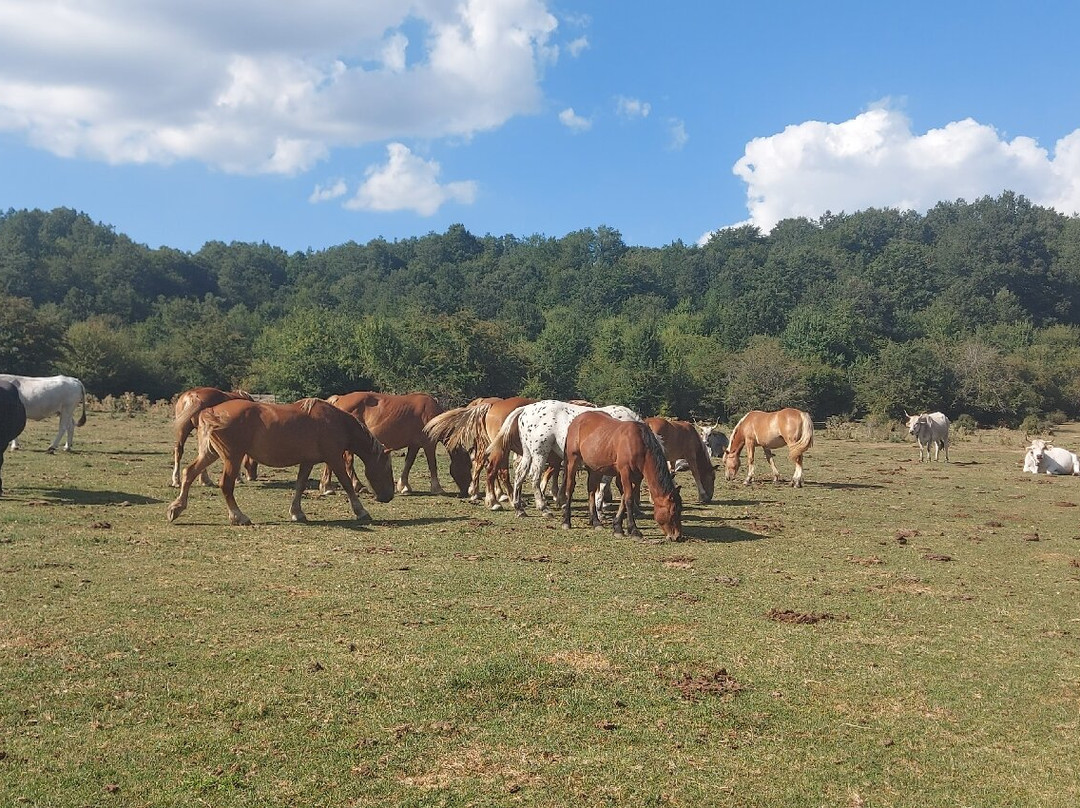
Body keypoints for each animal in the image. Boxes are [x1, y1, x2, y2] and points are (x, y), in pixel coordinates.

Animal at [167, 398, 395, 526]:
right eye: (387, 468)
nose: (389, 497)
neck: (336, 422)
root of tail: (209, 411)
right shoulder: (334, 458)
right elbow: (347, 484)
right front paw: (361, 511)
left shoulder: (307, 461)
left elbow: (300, 486)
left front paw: (297, 513)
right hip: (232, 457)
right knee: (226, 486)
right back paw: (239, 517)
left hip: (210, 453)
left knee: (189, 473)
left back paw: (176, 508)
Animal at [319, 392, 471, 496]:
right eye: (468, 465)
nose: (467, 491)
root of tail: (338, 399)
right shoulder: (429, 444)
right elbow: (432, 464)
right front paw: (437, 488)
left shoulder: (414, 445)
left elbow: (408, 462)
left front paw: (404, 486)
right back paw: (335, 487)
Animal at [487, 400, 641, 517]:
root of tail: (527, 409)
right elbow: (605, 486)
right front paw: (600, 510)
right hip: (540, 453)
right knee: (534, 476)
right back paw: (543, 508)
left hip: (528, 453)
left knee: (520, 474)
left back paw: (519, 508)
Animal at [562, 411, 683, 541]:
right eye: (673, 511)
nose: (677, 536)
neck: (639, 444)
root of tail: (576, 420)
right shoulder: (625, 472)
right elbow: (629, 499)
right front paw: (634, 530)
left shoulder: (636, 476)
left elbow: (625, 498)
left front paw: (618, 528)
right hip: (573, 460)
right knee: (570, 487)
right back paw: (566, 521)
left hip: (595, 469)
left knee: (591, 491)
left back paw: (595, 521)